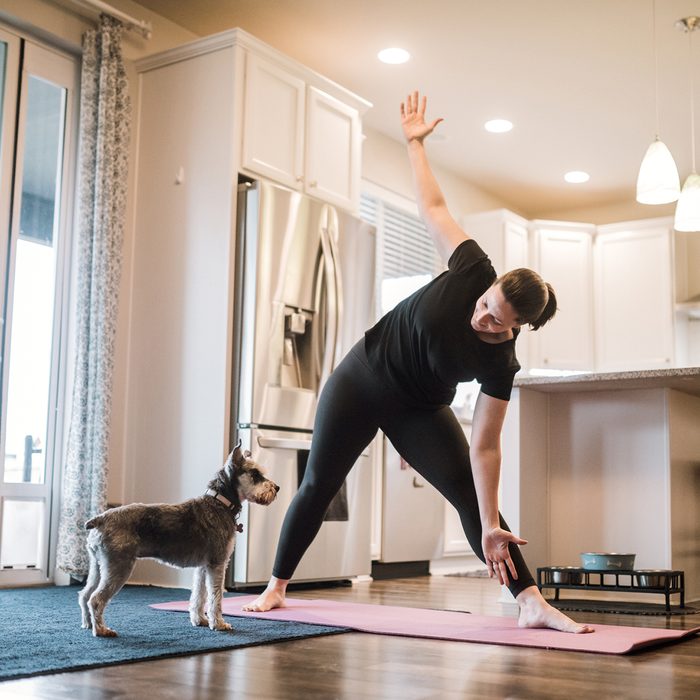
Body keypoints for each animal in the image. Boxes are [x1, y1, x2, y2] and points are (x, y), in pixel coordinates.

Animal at [80, 446, 278, 636]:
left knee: (85, 595)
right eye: (255, 474)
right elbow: (215, 597)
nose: (277, 488)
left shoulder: (203, 566)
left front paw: (200, 620)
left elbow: (199, 595)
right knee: (96, 599)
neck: (220, 503)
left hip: (98, 567)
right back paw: (101, 630)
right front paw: (219, 624)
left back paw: (88, 624)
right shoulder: (217, 563)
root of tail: (100, 519)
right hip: (119, 567)